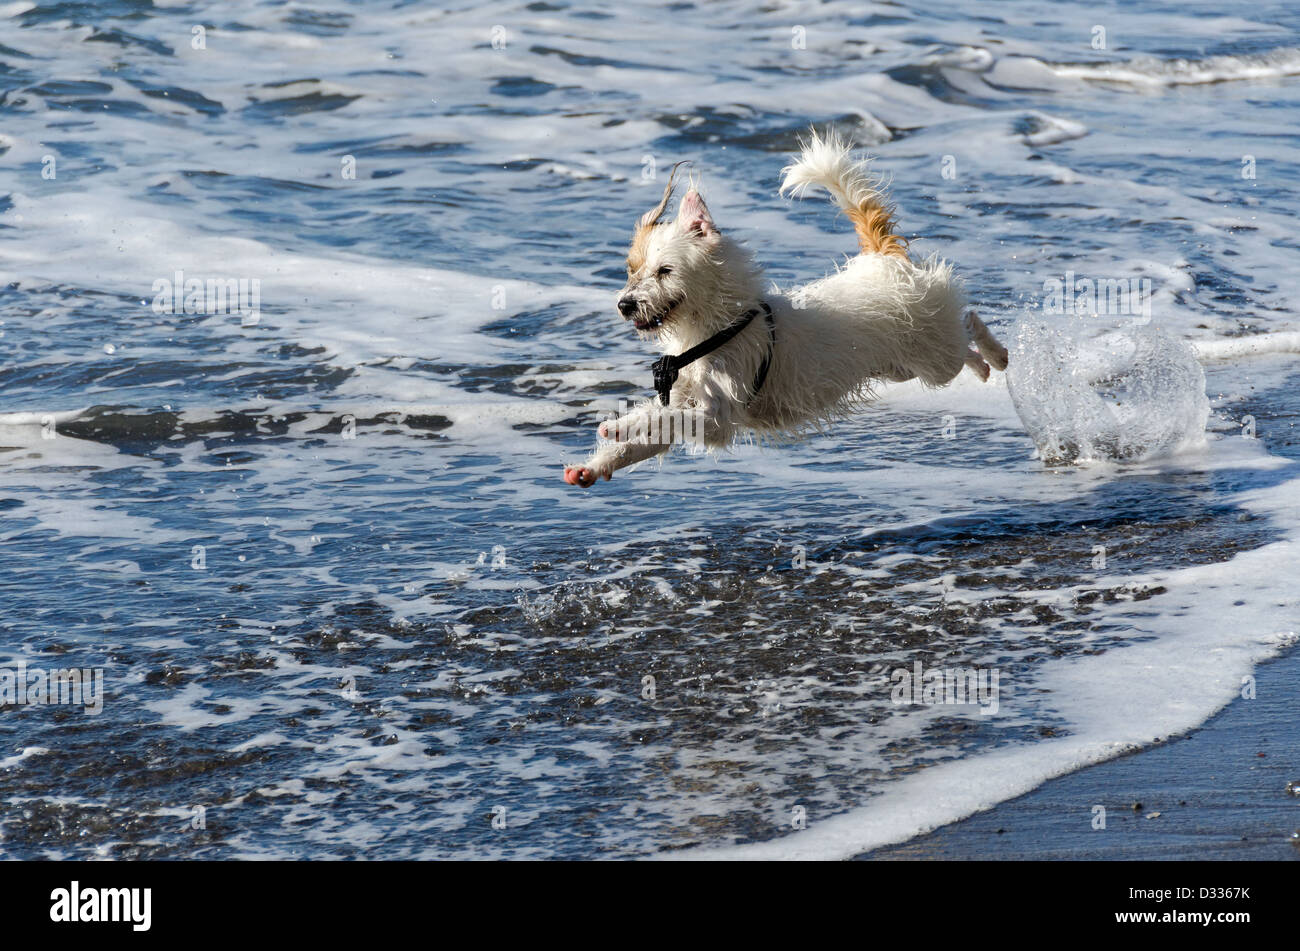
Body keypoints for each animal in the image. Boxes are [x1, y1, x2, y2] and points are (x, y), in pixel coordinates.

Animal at [559, 129, 1003, 485]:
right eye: (632, 270)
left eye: (665, 271)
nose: (624, 305)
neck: (712, 331)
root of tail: (882, 258)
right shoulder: (687, 399)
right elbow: (655, 431)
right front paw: (597, 462)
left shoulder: (717, 418)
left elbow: (667, 420)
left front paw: (617, 427)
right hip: (901, 366)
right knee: (961, 342)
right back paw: (984, 365)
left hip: (933, 354)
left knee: (966, 322)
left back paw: (996, 356)